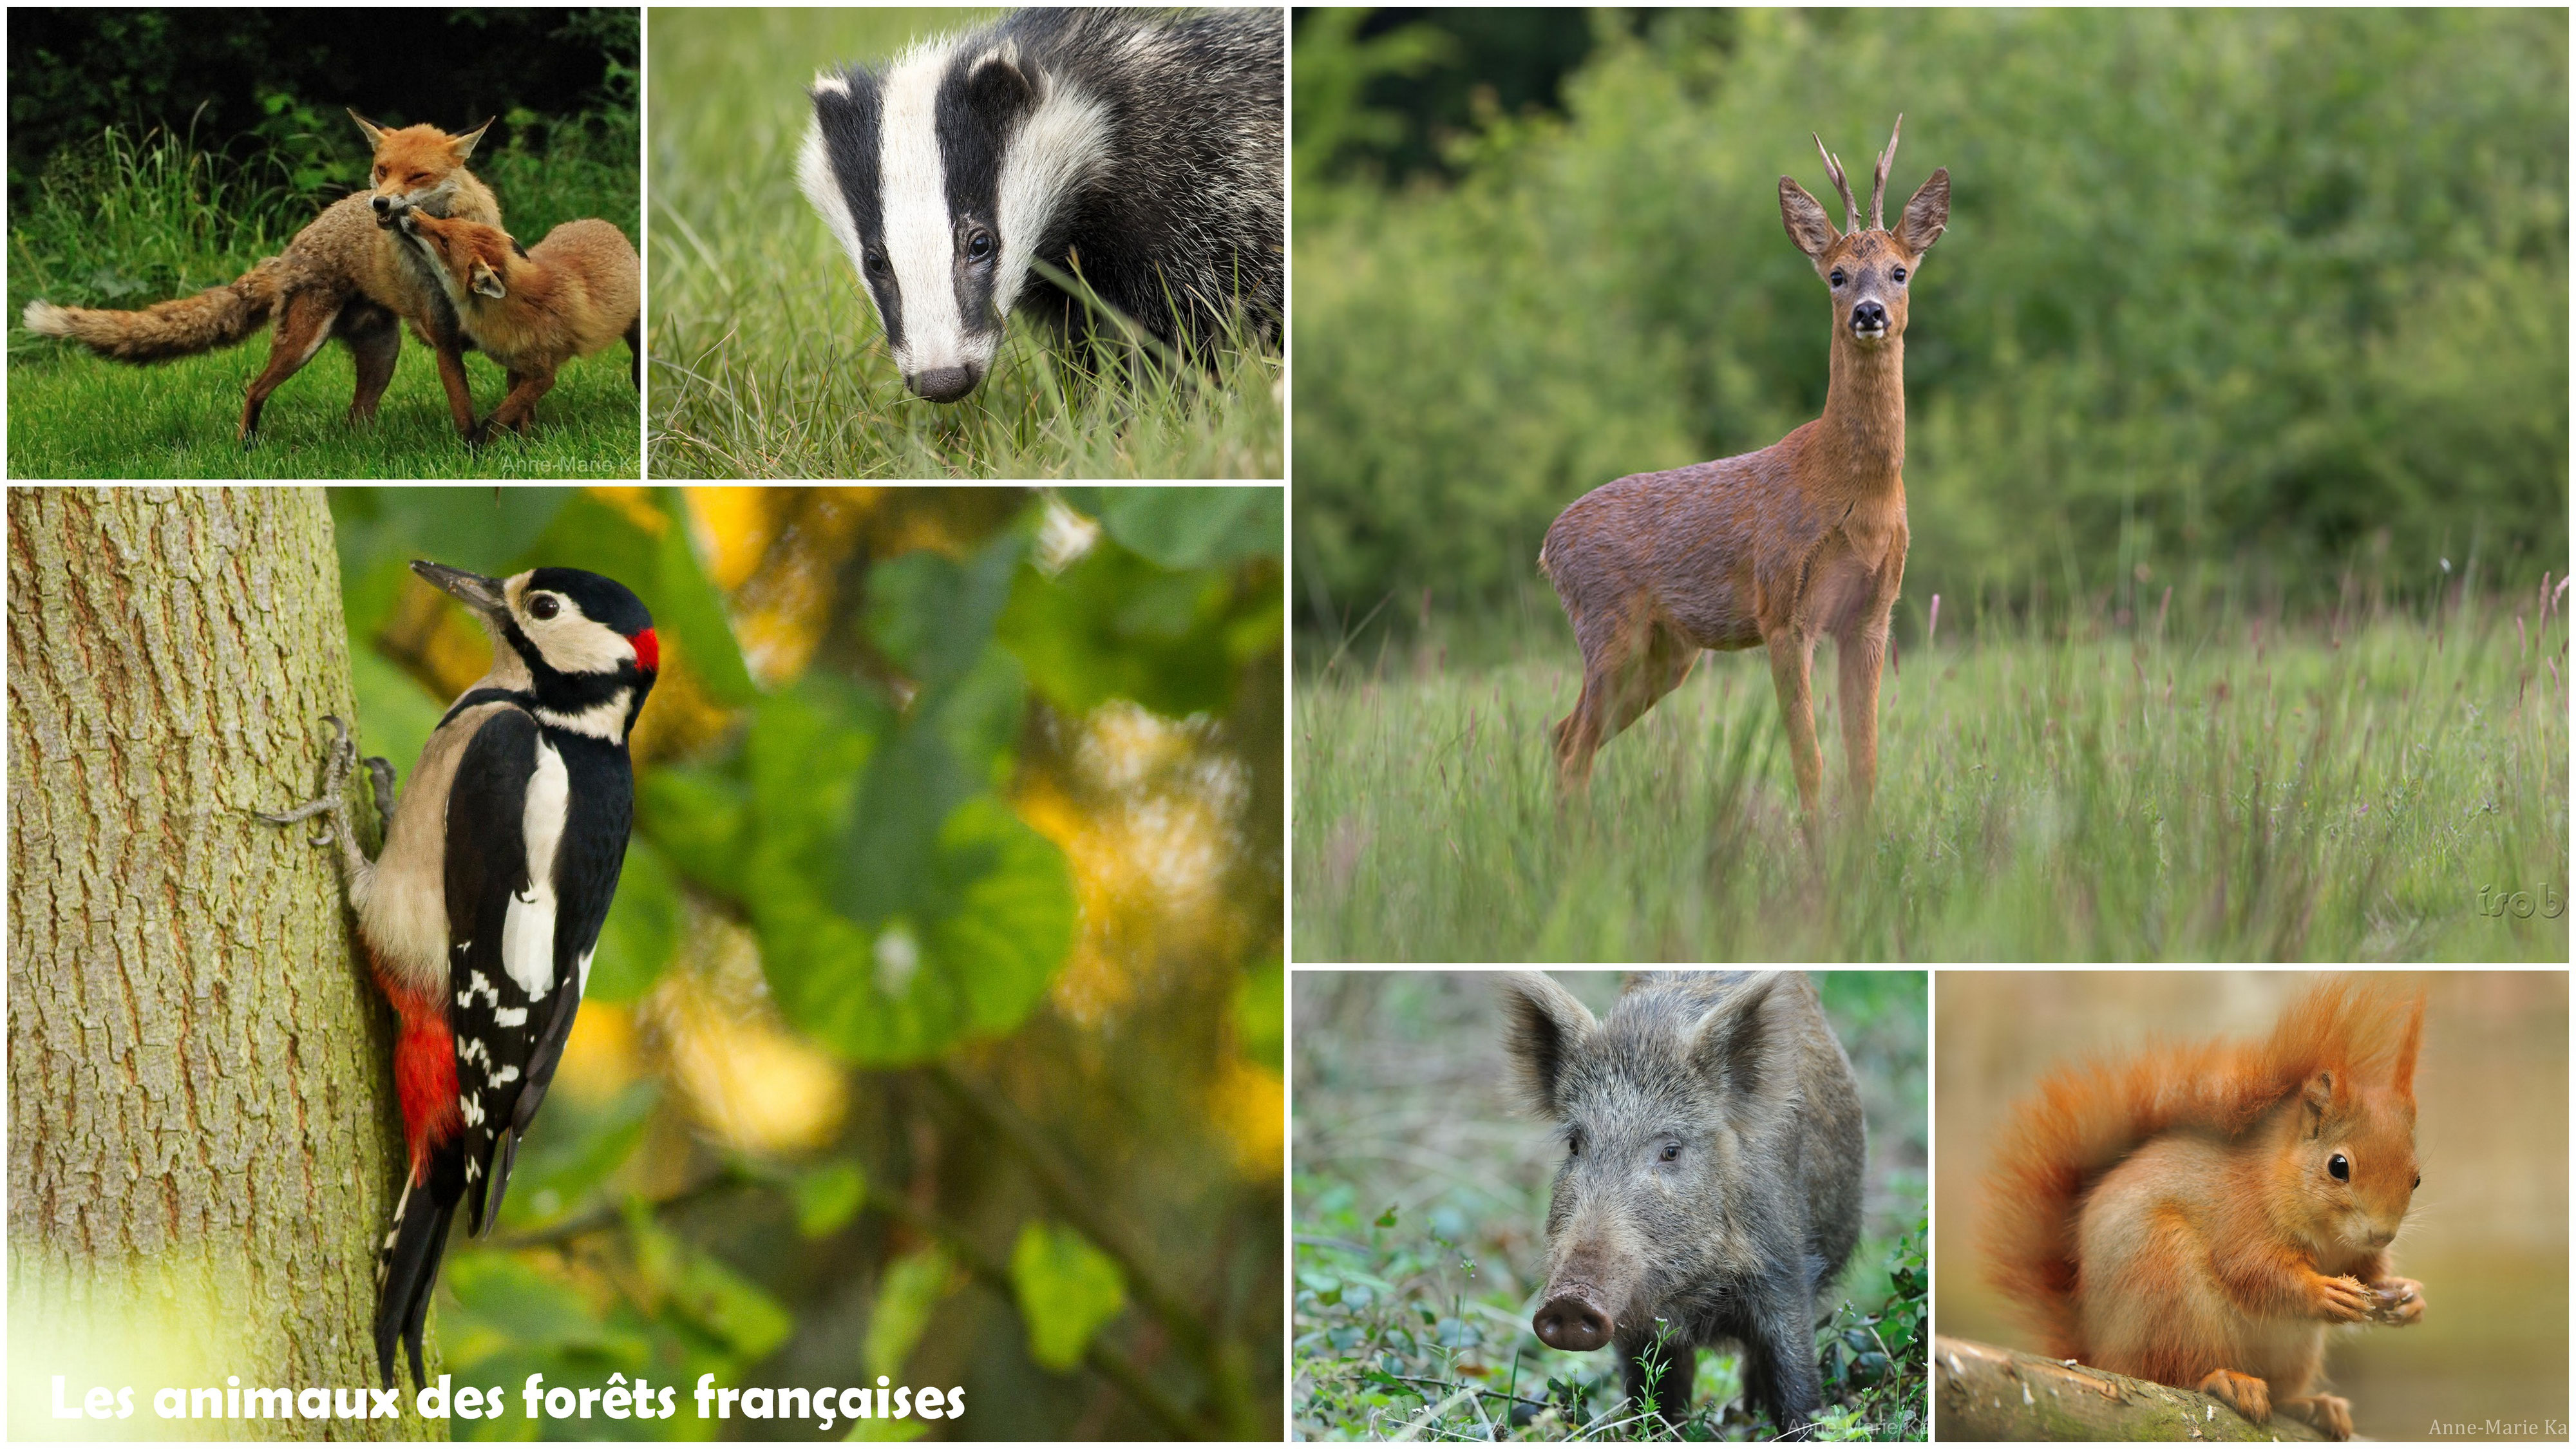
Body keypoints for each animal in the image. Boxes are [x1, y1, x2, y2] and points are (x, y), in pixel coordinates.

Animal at [21, 113, 497, 443]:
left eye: (417, 176)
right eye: (382, 169)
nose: (379, 203)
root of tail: (290, 250)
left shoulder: (455, 329)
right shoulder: (439, 327)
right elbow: (463, 407)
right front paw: (472, 452)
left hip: (381, 356)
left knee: (355, 417)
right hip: (303, 345)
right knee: (254, 389)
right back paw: (246, 447)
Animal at [386, 205, 639, 433]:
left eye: (445, 242)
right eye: (448, 222)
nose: (408, 209)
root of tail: (602, 223)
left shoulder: (543, 375)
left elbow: (498, 418)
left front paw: (481, 444)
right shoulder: (517, 367)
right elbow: (518, 413)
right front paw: (525, 442)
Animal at [1535, 115, 1937, 815]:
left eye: (1899, 271)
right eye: (1836, 275)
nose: (1869, 313)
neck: (1853, 487)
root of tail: (1547, 544)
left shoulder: (1870, 617)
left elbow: (1865, 766)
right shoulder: (1782, 610)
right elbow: (1810, 764)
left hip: (1668, 653)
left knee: (1563, 734)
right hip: (1609, 628)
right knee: (1570, 746)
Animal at [1978, 974, 2421, 1433]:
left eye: (2417, 1179)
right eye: (2339, 1166)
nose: (2381, 1235)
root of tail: (2098, 1355)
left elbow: (2368, 1273)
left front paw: (2407, 1296)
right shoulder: (2239, 1213)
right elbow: (2253, 1272)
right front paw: (2325, 1292)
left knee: (2280, 1394)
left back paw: (2313, 1405)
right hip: (2166, 1288)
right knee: (2177, 1372)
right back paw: (2226, 1380)